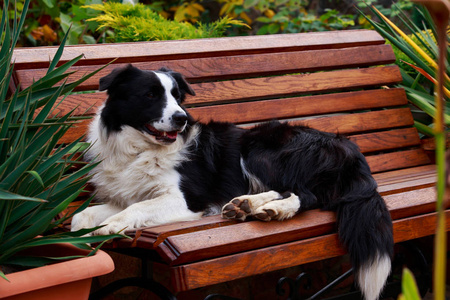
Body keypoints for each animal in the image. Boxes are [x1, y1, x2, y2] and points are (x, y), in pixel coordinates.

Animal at [71, 64, 394, 298]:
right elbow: (83, 215)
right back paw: (245, 205)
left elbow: (137, 209)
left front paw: (111, 226)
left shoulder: (186, 200)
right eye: (150, 95)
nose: (181, 119)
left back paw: (272, 209)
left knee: (307, 196)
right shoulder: (125, 194)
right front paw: (79, 236)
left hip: (258, 148)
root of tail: (349, 148)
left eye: (177, 97)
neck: (137, 150)